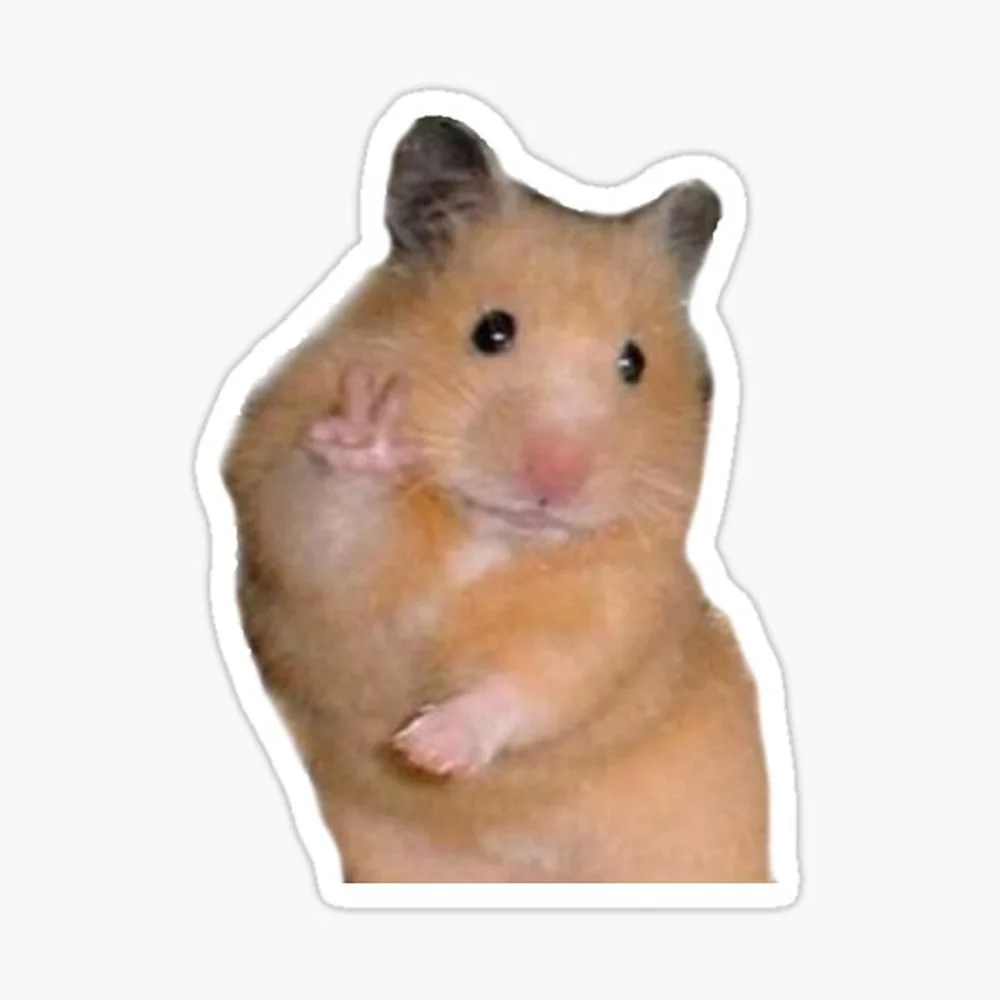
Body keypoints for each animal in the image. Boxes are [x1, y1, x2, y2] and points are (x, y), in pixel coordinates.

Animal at [222, 116, 769, 882]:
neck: (489, 536)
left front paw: (428, 750)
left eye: (633, 363)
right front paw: (368, 432)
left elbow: (540, 681)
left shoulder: (620, 606)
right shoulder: (291, 536)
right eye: (491, 331)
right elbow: (331, 523)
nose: (555, 480)